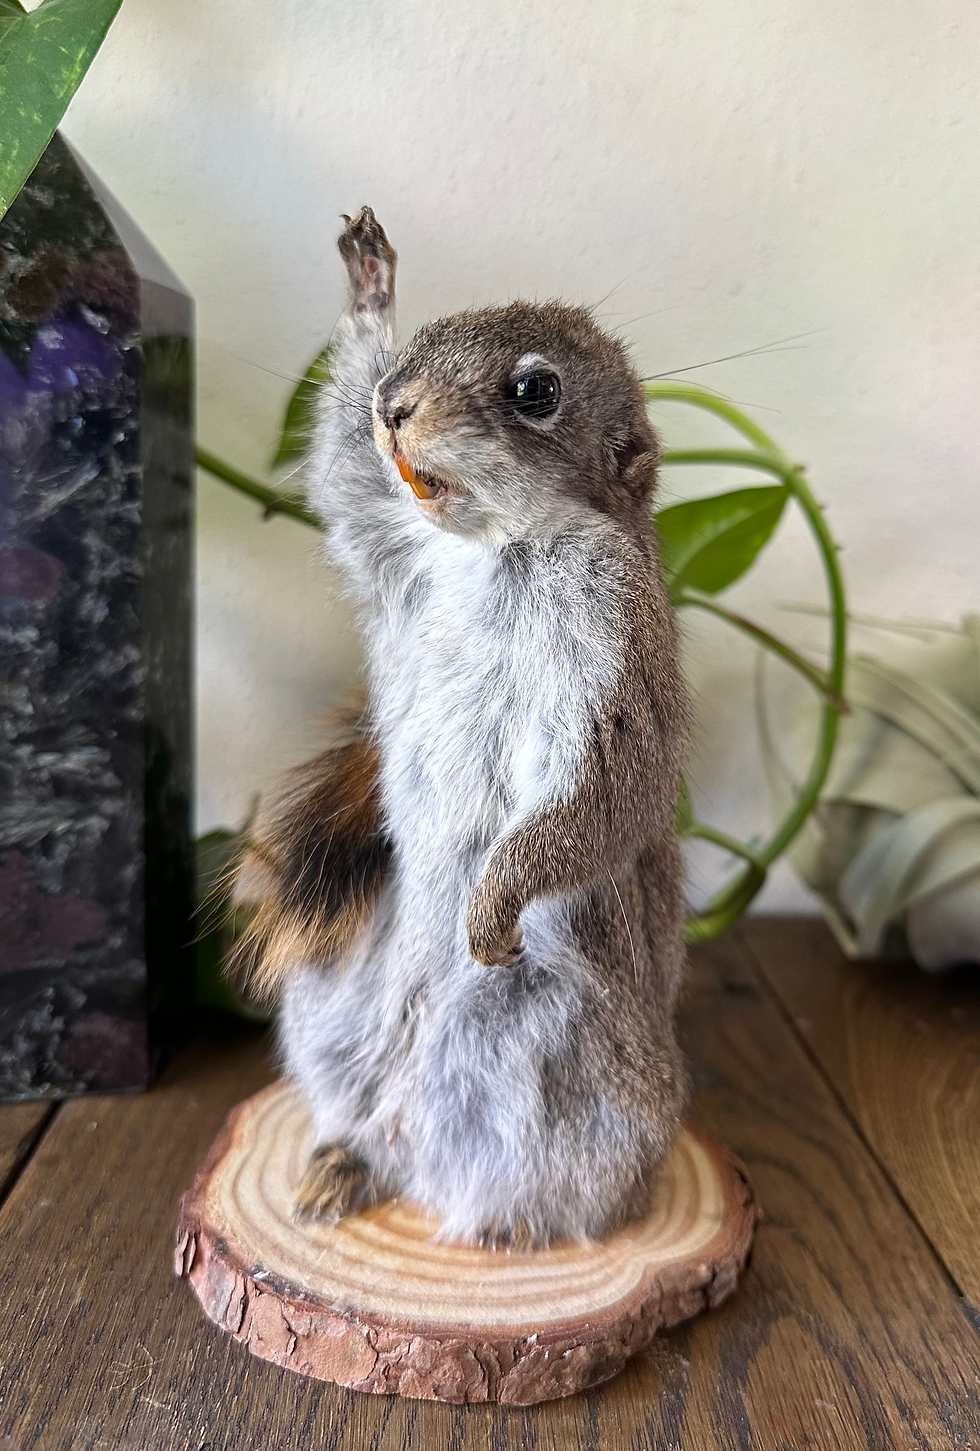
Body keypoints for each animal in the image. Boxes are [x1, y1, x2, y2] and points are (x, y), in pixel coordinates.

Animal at [232, 207, 690, 1248]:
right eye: (425, 338)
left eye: (535, 391)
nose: (393, 404)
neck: (500, 550)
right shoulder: (394, 542)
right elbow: (344, 472)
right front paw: (369, 285)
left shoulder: (619, 656)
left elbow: (606, 794)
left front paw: (492, 906)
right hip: (332, 1014)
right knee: (371, 1122)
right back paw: (341, 1165)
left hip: (577, 1082)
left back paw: (520, 1228)